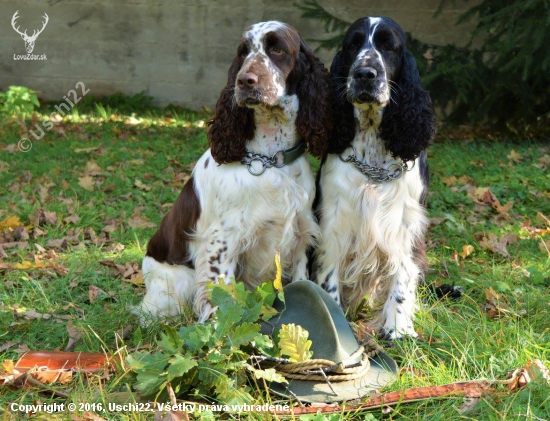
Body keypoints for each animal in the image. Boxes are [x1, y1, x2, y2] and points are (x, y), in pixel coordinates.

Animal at [136, 21, 332, 324]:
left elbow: (301, 280)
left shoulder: (301, 233)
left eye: (277, 49)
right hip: (175, 284)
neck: (268, 158)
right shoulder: (223, 239)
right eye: (243, 52)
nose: (245, 81)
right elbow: (222, 295)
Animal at [314, 17, 440, 338]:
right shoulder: (334, 221)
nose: (365, 74)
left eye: (388, 46)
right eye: (353, 45)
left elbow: (403, 275)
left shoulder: (405, 223)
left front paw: (397, 329)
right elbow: (329, 274)